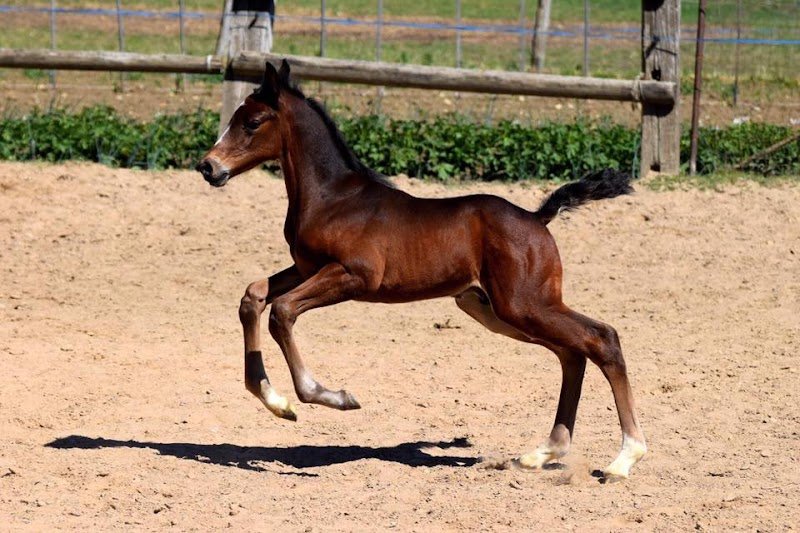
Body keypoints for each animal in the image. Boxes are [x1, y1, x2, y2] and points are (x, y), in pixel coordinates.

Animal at [196, 60, 647, 480]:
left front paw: (330, 397)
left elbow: (283, 312)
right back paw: (543, 452)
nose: (208, 167)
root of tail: (538, 217)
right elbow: (253, 297)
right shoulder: (307, 267)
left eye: (252, 122)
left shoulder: (353, 275)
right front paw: (276, 403)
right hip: (495, 310)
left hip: (524, 305)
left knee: (601, 339)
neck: (333, 197)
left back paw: (624, 458)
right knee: (572, 354)